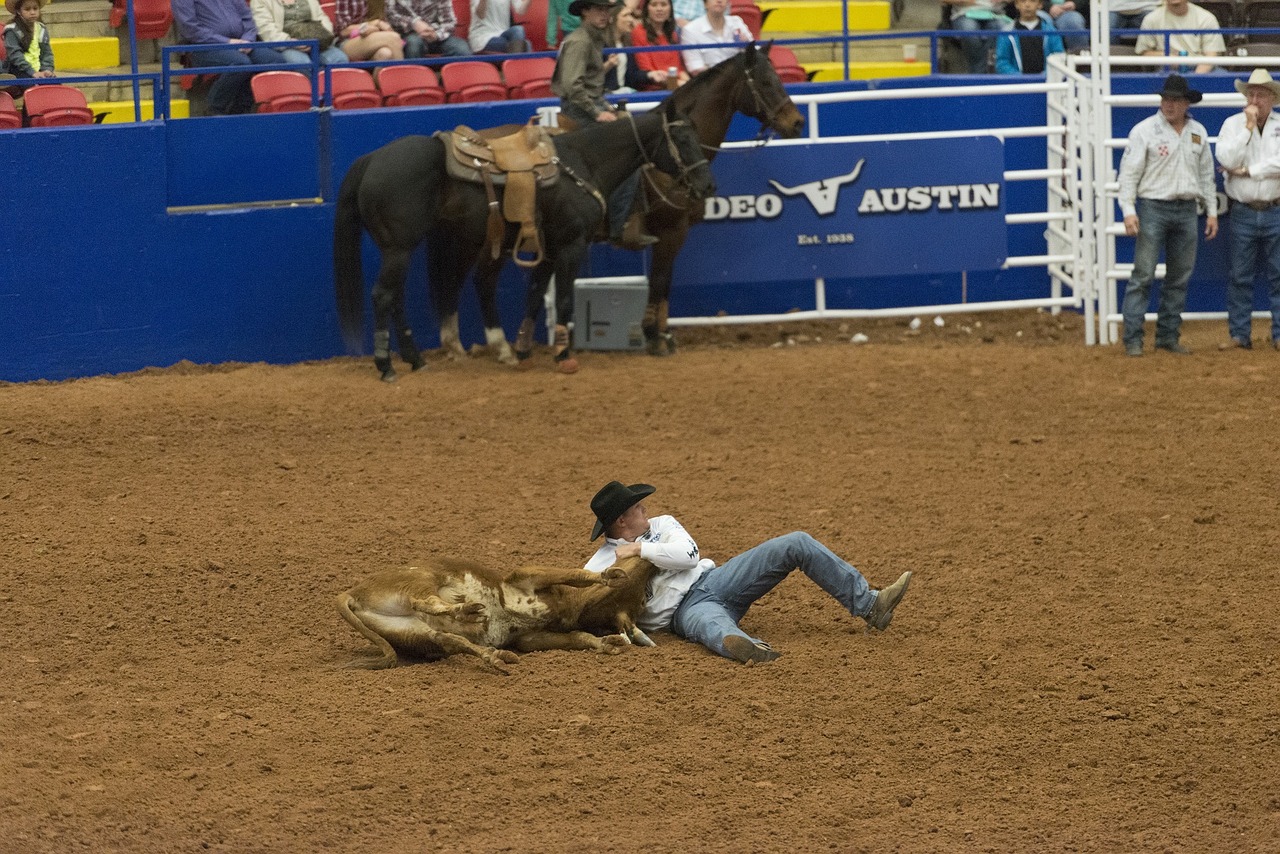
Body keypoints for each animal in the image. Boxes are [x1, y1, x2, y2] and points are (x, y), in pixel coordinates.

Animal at [637, 41, 798, 355]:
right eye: (765, 82)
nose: (797, 122)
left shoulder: (677, 232)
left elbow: (666, 282)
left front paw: (664, 333)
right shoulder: (669, 229)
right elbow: (659, 280)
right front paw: (653, 336)